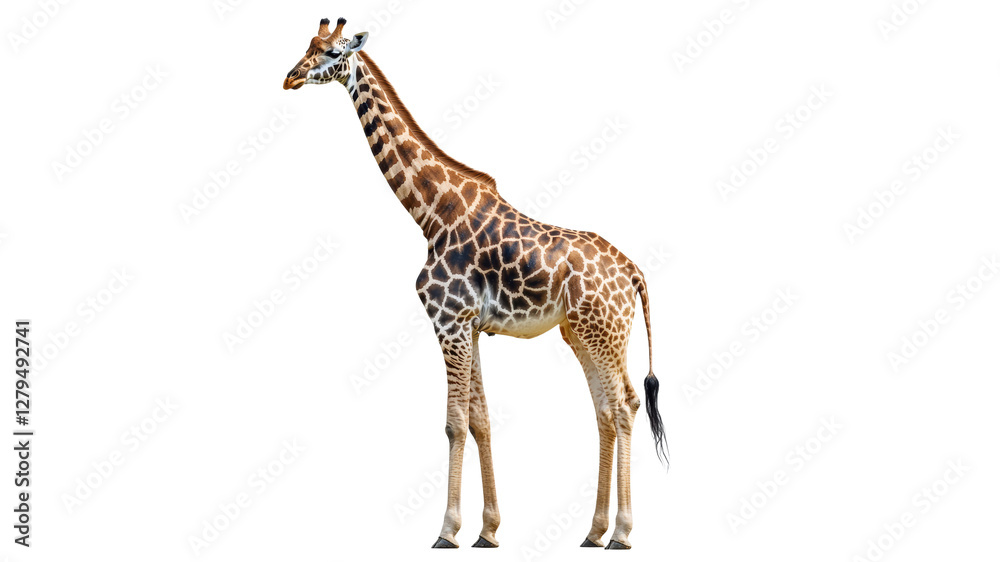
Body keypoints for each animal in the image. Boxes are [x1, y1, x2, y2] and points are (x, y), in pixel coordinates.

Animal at [283, 17, 668, 550]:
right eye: (308, 45)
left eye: (333, 52)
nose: (290, 77)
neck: (431, 213)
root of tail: (634, 271)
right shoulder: (471, 326)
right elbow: (481, 421)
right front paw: (487, 530)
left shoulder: (448, 320)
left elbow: (454, 424)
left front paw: (447, 531)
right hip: (582, 333)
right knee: (605, 410)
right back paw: (593, 531)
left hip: (603, 331)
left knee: (625, 405)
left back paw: (623, 533)